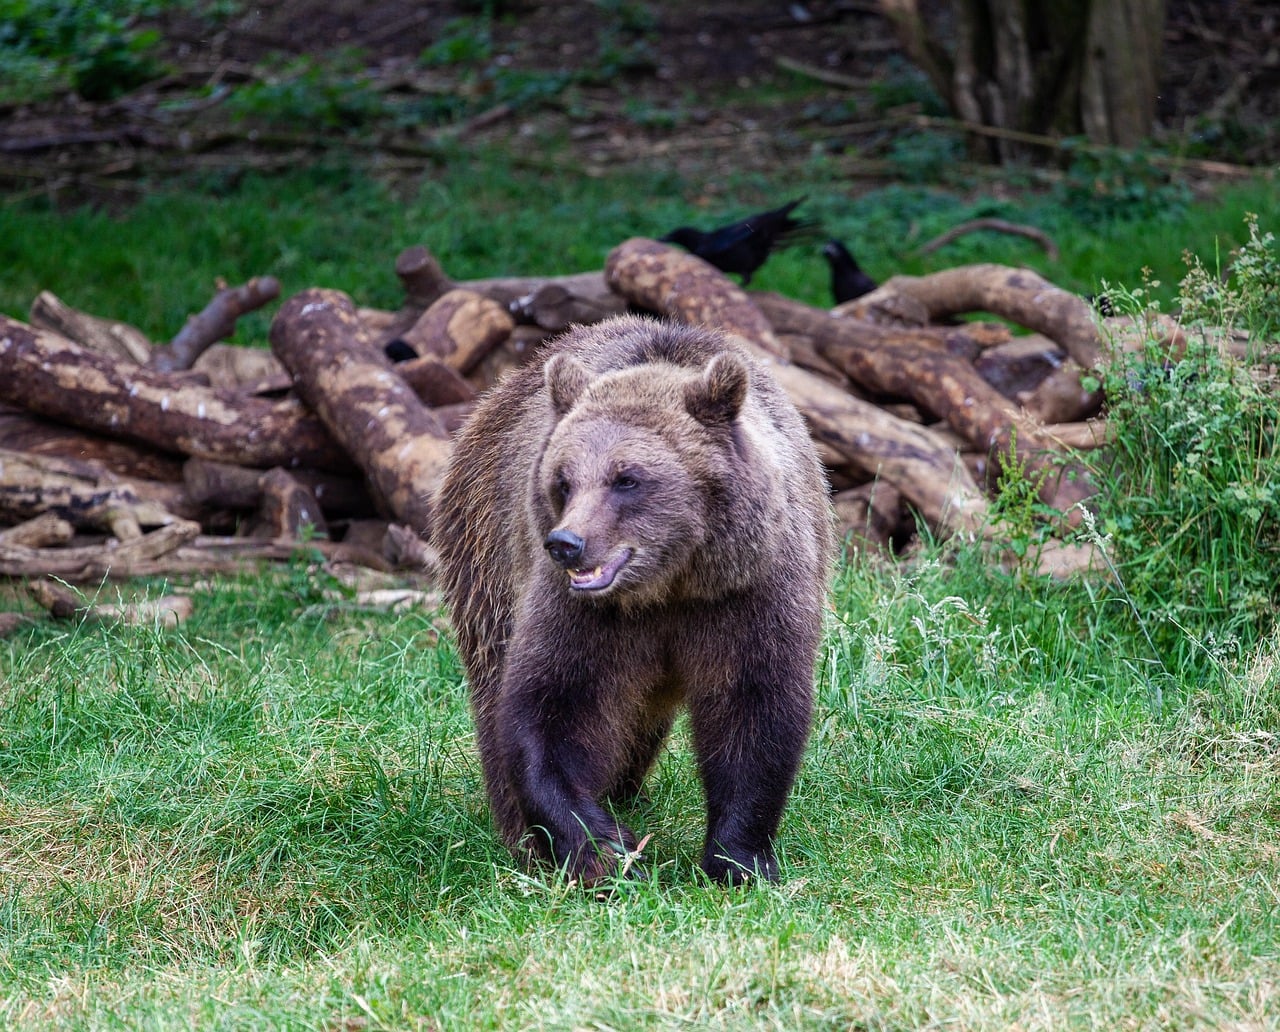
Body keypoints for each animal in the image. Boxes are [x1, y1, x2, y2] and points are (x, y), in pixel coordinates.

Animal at [434, 314, 834, 886]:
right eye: (563, 479)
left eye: (627, 478)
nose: (566, 543)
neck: (669, 584)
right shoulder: (580, 613)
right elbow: (552, 708)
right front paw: (605, 851)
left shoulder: (750, 593)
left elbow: (755, 709)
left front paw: (739, 860)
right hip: (484, 546)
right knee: (493, 681)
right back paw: (523, 835)